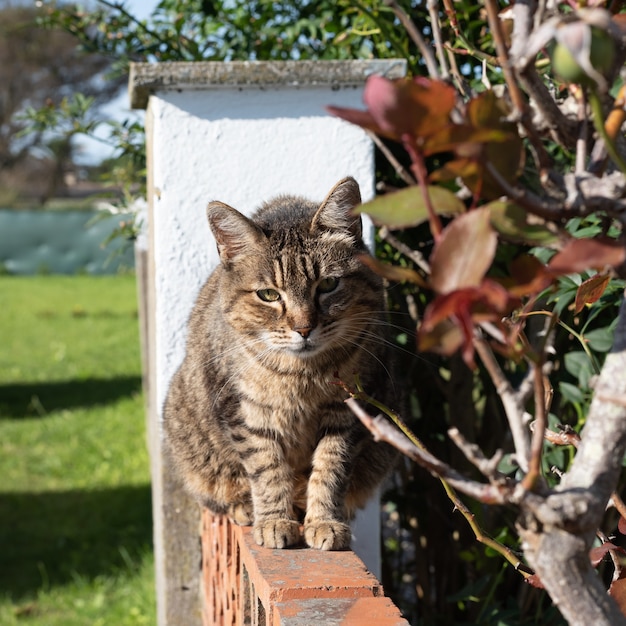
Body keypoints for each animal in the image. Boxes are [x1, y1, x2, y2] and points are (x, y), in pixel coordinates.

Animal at [163, 176, 398, 544]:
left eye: (328, 284)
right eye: (269, 294)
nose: (303, 328)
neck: (302, 375)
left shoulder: (349, 409)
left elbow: (331, 469)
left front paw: (324, 521)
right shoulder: (245, 412)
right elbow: (267, 469)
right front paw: (274, 520)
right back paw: (245, 508)